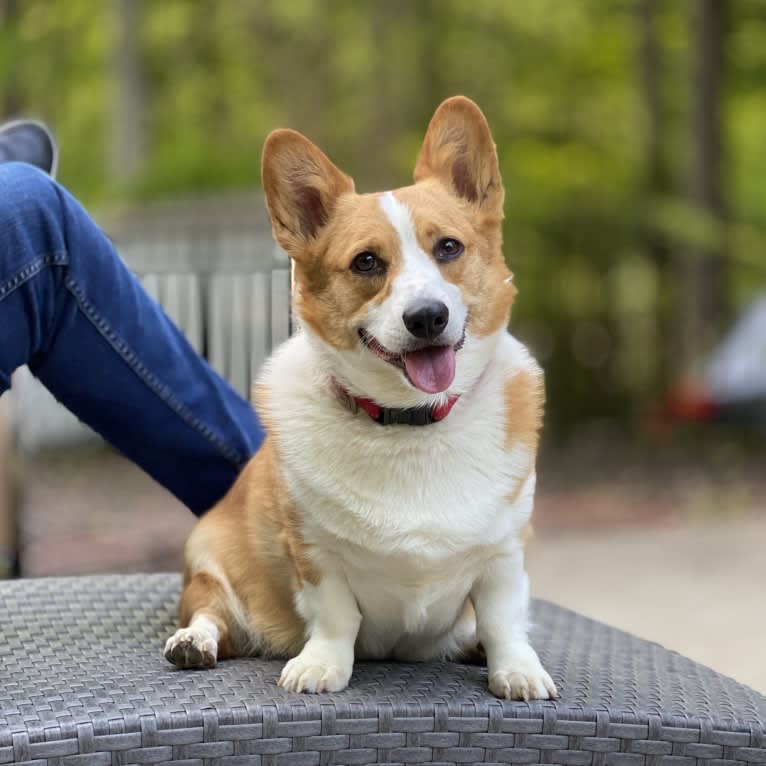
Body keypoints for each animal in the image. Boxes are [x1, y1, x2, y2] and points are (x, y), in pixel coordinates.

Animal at [164, 96, 560, 704]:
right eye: (366, 262)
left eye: (449, 247)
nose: (427, 318)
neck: (410, 421)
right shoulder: (314, 553)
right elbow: (335, 617)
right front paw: (320, 667)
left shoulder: (503, 554)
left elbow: (502, 619)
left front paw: (516, 670)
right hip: (207, 563)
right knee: (212, 616)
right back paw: (193, 643)